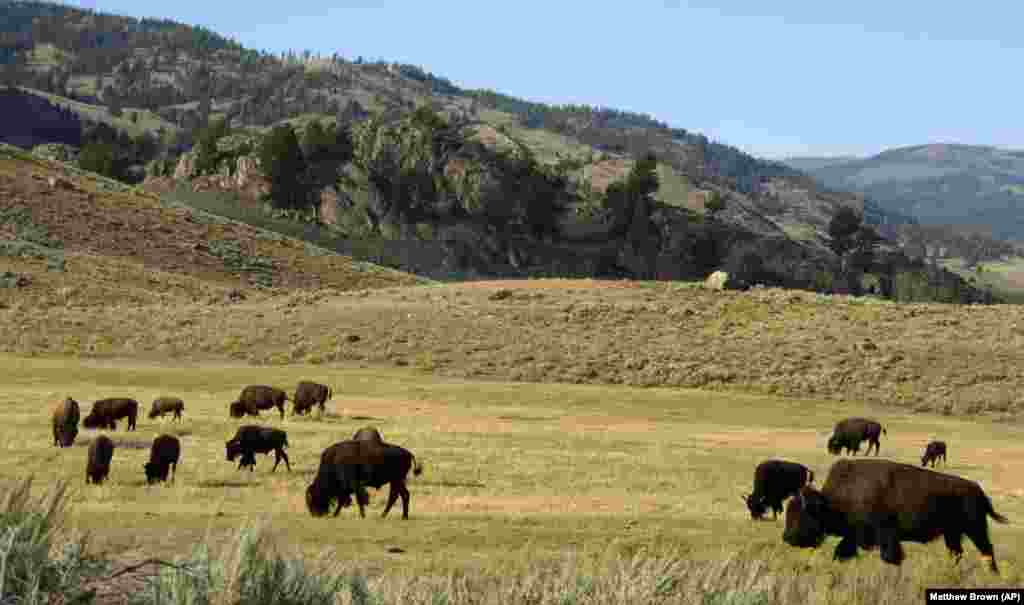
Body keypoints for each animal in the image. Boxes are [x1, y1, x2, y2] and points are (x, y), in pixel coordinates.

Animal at [782, 459, 1009, 573]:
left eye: (801, 515)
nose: (786, 538)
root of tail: (978, 490)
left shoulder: (886, 535)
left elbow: (891, 557)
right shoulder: (854, 536)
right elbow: (842, 552)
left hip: (975, 529)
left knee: (986, 549)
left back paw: (992, 574)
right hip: (952, 533)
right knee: (957, 552)